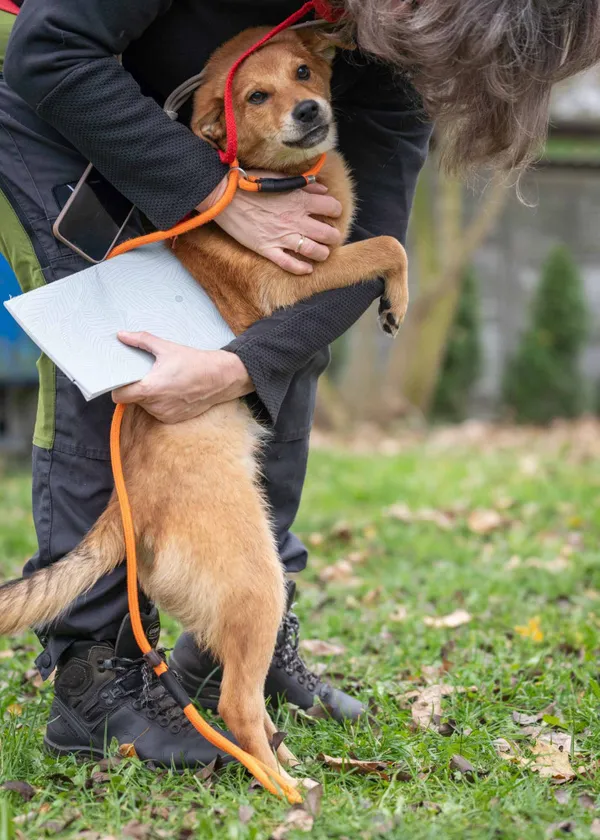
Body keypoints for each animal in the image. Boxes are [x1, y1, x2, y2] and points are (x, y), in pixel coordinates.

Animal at [0, 27, 408, 788]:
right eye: (257, 95)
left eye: (303, 71)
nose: (309, 110)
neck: (269, 179)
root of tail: (126, 509)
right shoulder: (298, 276)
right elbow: (386, 244)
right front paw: (397, 297)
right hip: (257, 585)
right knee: (238, 709)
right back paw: (289, 789)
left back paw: (281, 757)